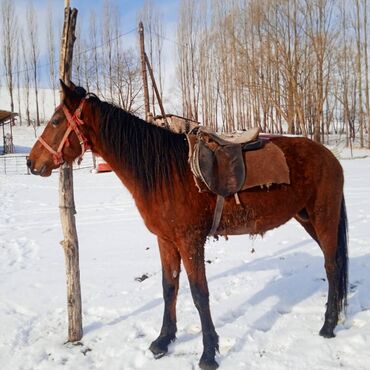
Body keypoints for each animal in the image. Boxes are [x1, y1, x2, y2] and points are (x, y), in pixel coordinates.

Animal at [26, 81, 346, 370]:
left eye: (56, 121)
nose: (31, 162)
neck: (164, 172)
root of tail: (330, 156)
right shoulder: (166, 241)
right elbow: (170, 287)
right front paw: (163, 341)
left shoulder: (190, 241)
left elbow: (199, 293)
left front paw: (208, 353)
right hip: (307, 220)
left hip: (324, 219)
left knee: (331, 266)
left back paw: (328, 326)